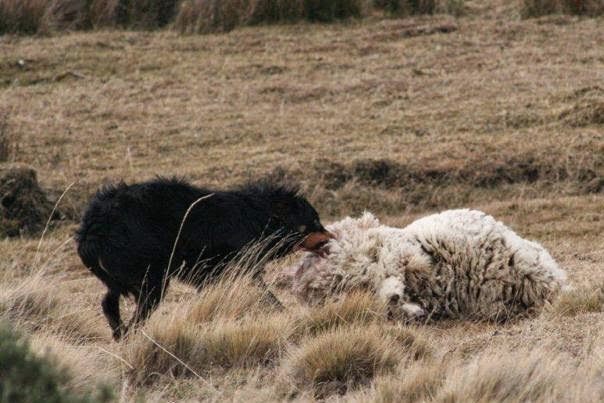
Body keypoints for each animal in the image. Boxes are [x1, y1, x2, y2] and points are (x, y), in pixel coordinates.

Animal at [76, 178, 332, 340]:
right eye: (314, 222)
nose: (333, 237)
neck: (259, 216)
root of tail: (92, 229)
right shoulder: (238, 264)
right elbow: (263, 292)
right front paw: (283, 311)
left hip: (121, 275)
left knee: (109, 302)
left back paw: (119, 333)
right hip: (149, 275)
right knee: (141, 309)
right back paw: (133, 335)